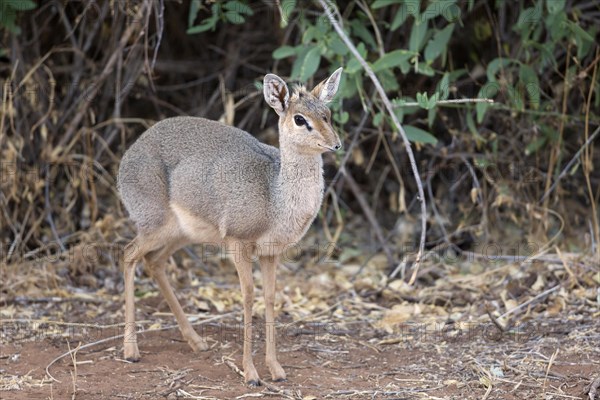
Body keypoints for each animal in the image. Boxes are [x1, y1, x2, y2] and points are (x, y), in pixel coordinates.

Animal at [116, 68, 342, 384]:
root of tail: (130, 153)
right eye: (300, 118)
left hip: (181, 235)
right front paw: (250, 373)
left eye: (327, 114)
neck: (275, 195)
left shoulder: (270, 252)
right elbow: (247, 296)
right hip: (155, 226)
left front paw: (275, 369)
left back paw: (196, 341)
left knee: (153, 262)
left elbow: (270, 297)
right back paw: (131, 350)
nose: (336, 144)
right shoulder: (238, 243)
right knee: (128, 254)